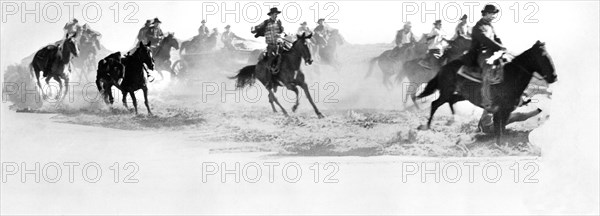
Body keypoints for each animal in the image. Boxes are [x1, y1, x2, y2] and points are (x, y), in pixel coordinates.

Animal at [412, 40, 556, 145]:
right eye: (543, 57)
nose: (554, 77)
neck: (510, 77)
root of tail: (444, 67)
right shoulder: (500, 111)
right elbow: (499, 130)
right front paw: (499, 144)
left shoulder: (506, 111)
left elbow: (502, 129)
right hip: (446, 91)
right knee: (435, 103)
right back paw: (427, 126)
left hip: (461, 95)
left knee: (450, 101)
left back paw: (454, 119)